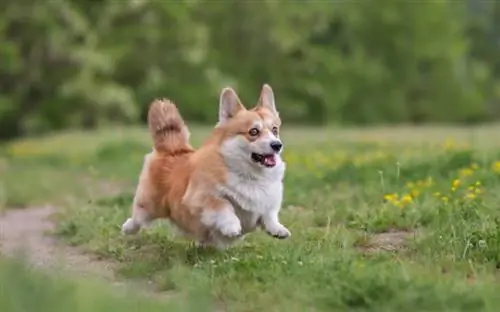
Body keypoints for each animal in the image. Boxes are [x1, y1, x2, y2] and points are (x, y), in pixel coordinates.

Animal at [120, 84, 290, 250]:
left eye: (275, 130)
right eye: (254, 131)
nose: (277, 145)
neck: (251, 174)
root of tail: (173, 149)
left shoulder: (268, 203)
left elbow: (269, 215)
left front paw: (277, 229)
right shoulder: (200, 197)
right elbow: (223, 204)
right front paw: (232, 225)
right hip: (150, 204)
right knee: (138, 217)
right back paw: (128, 228)